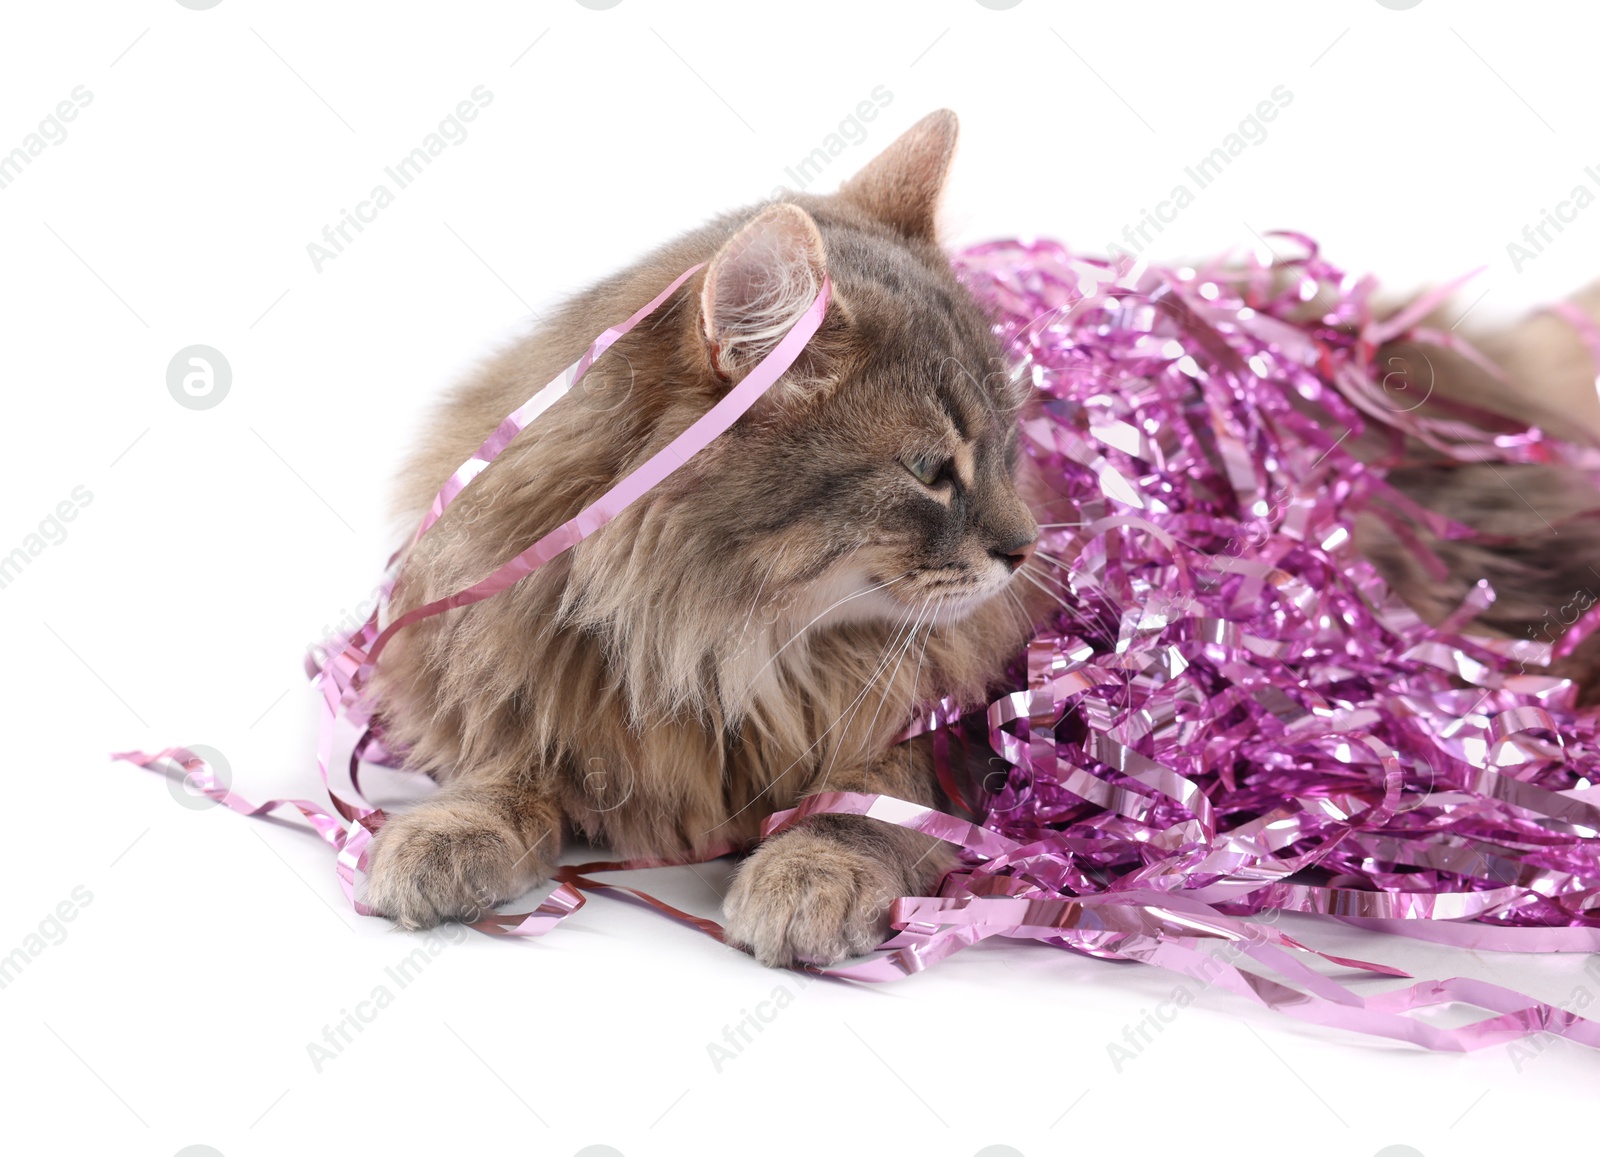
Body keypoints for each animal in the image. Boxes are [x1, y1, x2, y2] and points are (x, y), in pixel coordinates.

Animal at [363, 104, 1600, 966]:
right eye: (928, 471)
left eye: (1009, 445)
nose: (1025, 548)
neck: (715, 645)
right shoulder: (533, 674)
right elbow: (506, 770)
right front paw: (438, 837)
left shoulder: (943, 742)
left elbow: (855, 813)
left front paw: (804, 876)